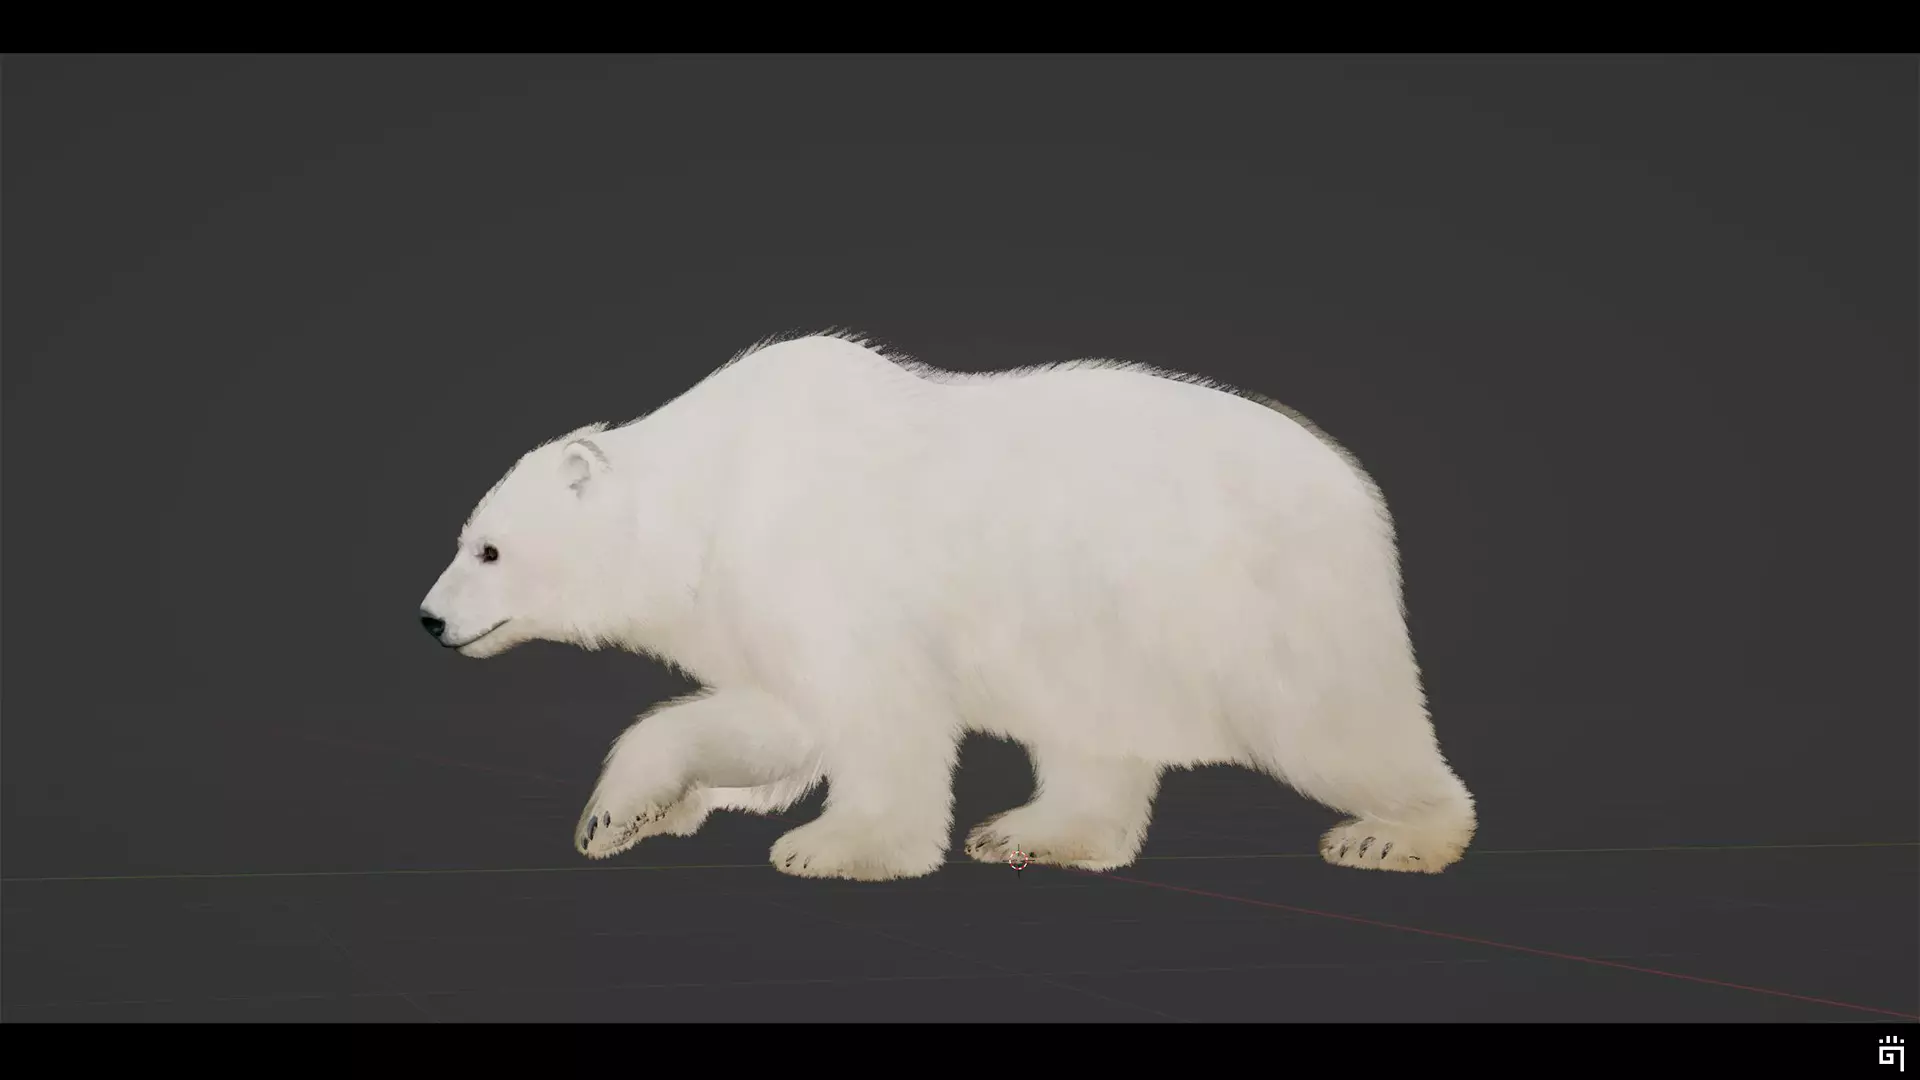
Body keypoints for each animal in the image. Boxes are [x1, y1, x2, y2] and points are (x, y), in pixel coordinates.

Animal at [418, 330, 1477, 881]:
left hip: (1264, 605)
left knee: (1337, 724)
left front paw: (834, 847)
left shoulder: (831, 569)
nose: (429, 618)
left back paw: (1394, 833)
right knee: (1090, 742)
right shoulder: (752, 601)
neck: (719, 487)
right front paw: (628, 814)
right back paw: (1036, 832)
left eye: (489, 547)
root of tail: (1356, 488)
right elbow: (775, 718)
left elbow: (874, 719)